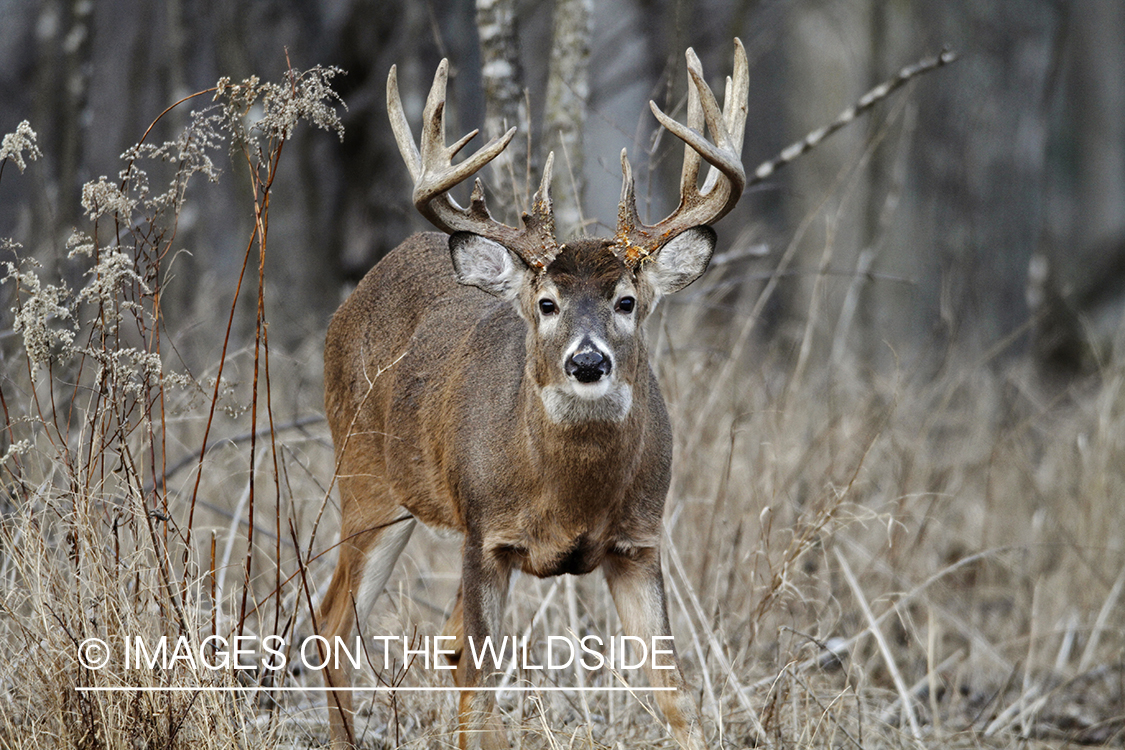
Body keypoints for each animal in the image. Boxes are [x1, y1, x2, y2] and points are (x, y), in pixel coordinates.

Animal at [319, 38, 747, 746]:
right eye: (547, 303)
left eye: (627, 301)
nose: (587, 360)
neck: (570, 496)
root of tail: (352, 299)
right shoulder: (484, 534)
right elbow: (480, 693)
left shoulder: (640, 539)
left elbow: (676, 693)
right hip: (364, 478)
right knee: (336, 622)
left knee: (431, 639)